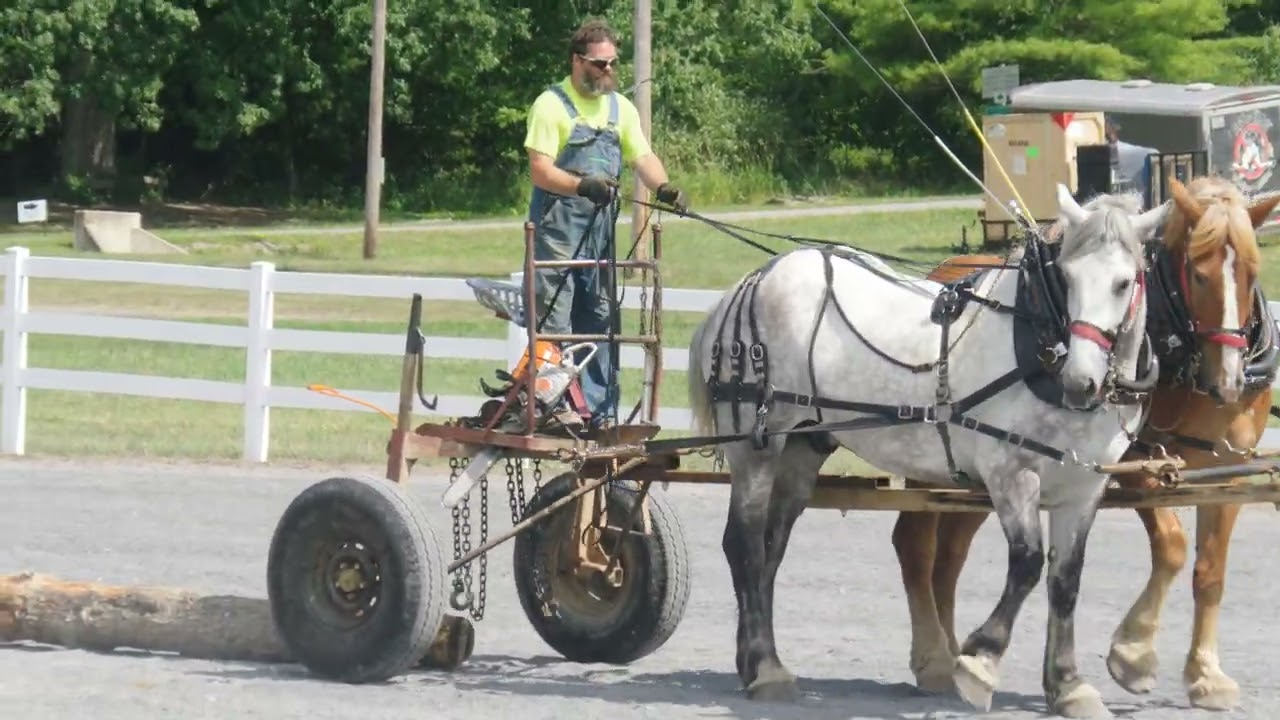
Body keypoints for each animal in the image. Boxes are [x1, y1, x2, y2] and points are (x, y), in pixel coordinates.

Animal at [686, 184, 1169, 716]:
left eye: (1123, 283)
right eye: (1066, 276)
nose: (1080, 381)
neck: (1037, 348)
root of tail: (752, 281)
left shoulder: (1084, 487)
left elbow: (1066, 580)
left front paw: (1066, 684)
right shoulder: (1010, 474)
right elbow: (1026, 564)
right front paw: (978, 661)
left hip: (801, 448)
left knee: (771, 547)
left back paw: (754, 660)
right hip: (756, 447)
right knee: (745, 545)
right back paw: (765, 667)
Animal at [892, 175, 1280, 712]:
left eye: (1251, 269)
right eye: (1197, 274)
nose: (1228, 381)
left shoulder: (1225, 473)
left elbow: (1211, 571)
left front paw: (1206, 673)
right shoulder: (1138, 466)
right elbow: (1173, 546)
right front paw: (1133, 654)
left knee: (949, 556)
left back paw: (952, 654)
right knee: (915, 544)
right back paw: (934, 656)